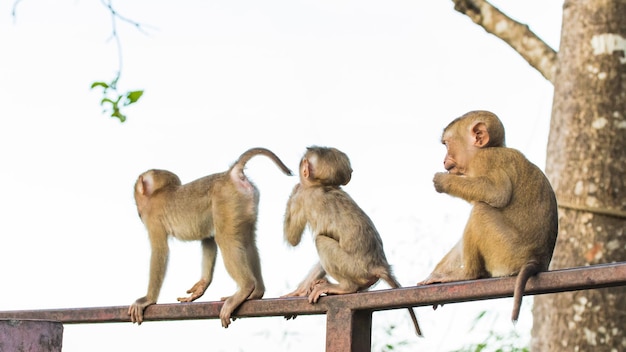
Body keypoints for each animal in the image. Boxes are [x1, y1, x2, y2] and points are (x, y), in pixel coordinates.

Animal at [129, 148, 292, 328]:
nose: (138, 212)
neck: (159, 193)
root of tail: (231, 175)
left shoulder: (153, 219)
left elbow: (160, 251)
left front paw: (147, 300)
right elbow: (208, 239)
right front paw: (201, 286)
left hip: (226, 200)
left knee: (226, 240)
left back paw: (245, 288)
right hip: (245, 204)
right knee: (248, 242)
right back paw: (256, 292)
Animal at [284, 146, 424, 336]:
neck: (322, 185)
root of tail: (379, 265)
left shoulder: (303, 197)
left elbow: (293, 238)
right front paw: (299, 291)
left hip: (354, 267)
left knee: (321, 241)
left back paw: (345, 288)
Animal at [420, 110, 556, 322]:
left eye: (446, 144)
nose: (444, 160)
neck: (492, 148)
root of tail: (538, 260)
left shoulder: (484, 160)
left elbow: (497, 192)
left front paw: (443, 181)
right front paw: (433, 275)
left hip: (506, 252)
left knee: (481, 210)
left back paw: (469, 274)